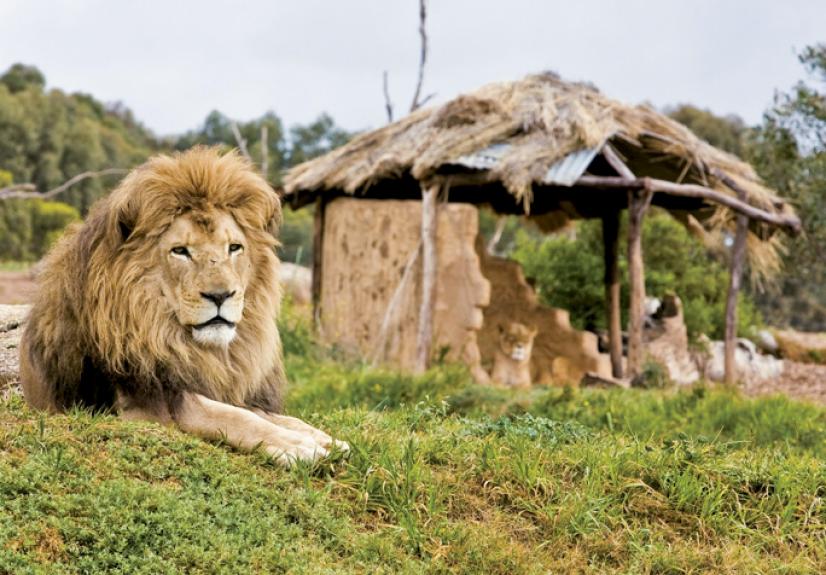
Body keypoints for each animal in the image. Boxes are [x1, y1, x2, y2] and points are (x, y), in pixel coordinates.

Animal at [20, 147, 344, 464]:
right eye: (180, 251)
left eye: (234, 247)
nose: (220, 295)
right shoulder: (139, 406)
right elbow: (229, 415)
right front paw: (297, 446)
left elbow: (258, 411)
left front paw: (321, 437)